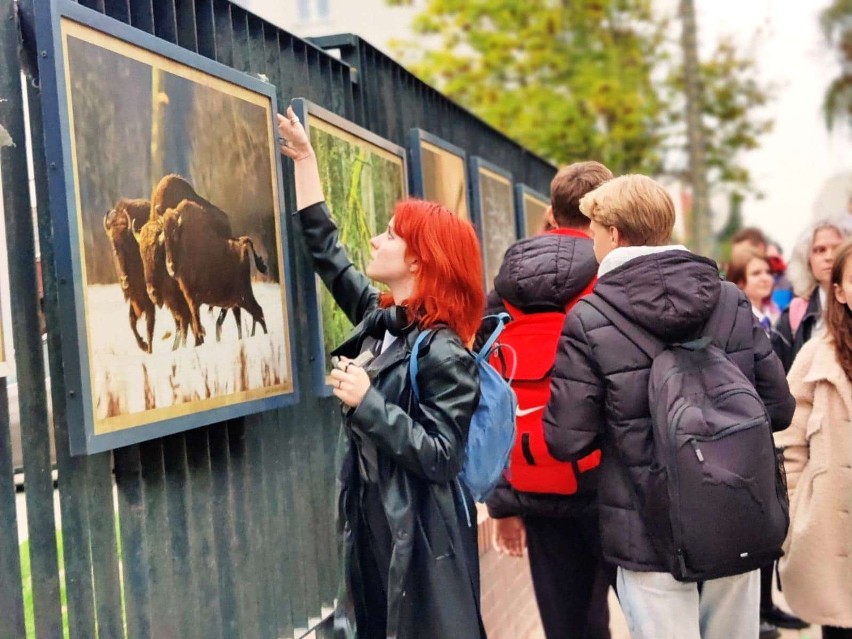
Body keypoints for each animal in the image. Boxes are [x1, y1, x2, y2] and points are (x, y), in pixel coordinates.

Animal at [104, 206, 156, 352]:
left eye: (126, 246)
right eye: (114, 248)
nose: (124, 280)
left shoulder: (148, 300)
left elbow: (149, 326)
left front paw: (148, 348)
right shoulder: (135, 300)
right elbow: (132, 321)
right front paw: (143, 345)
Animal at [160, 202, 266, 348]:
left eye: (175, 232)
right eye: (164, 233)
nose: (170, 266)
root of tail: (243, 244)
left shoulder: (192, 298)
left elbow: (197, 324)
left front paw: (198, 342)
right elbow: (196, 324)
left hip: (243, 296)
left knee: (258, 312)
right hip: (239, 300)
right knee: (255, 314)